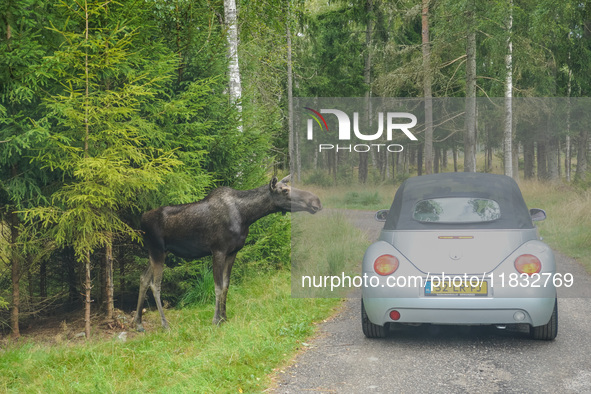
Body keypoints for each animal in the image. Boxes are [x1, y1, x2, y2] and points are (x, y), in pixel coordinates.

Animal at [133, 174, 324, 330]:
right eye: (284, 190)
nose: (317, 201)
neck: (247, 216)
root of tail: (140, 221)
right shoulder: (218, 250)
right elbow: (217, 287)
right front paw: (215, 320)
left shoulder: (233, 252)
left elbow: (226, 285)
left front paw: (224, 317)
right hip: (157, 250)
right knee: (155, 284)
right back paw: (164, 324)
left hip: (159, 252)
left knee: (143, 278)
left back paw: (139, 323)